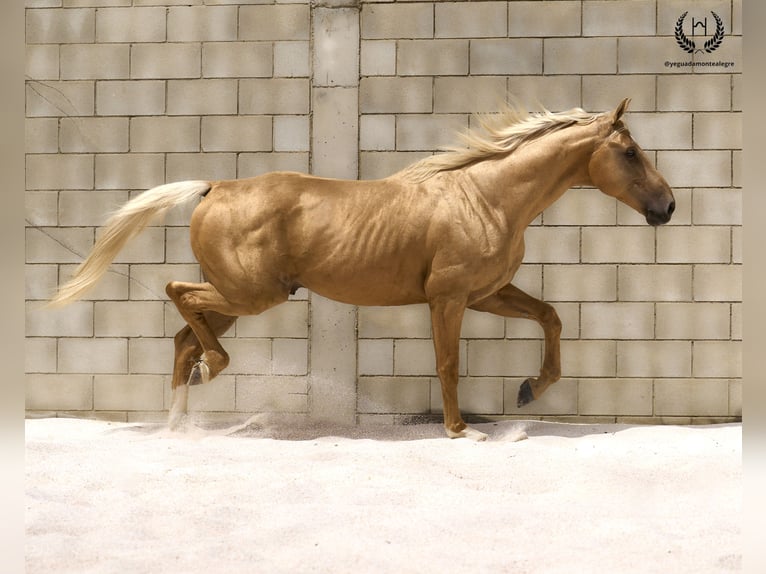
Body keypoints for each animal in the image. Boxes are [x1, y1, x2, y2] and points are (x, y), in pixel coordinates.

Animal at [51, 98, 672, 440]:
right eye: (631, 152)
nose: (667, 208)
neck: (485, 196)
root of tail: (216, 186)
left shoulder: (486, 293)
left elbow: (550, 317)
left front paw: (528, 390)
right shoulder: (448, 298)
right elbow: (448, 364)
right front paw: (460, 431)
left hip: (235, 297)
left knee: (184, 338)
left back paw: (181, 422)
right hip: (249, 294)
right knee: (178, 294)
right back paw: (211, 374)